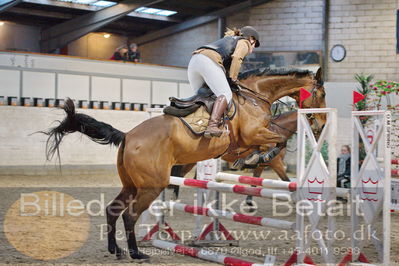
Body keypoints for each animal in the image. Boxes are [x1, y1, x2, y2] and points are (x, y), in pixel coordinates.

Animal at [43, 66, 326, 260]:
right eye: (322, 93)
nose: (321, 125)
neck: (256, 97)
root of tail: (128, 136)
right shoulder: (253, 134)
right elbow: (277, 141)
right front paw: (260, 157)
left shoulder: (238, 145)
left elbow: (265, 147)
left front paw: (251, 159)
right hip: (151, 186)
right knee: (130, 215)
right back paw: (136, 253)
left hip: (132, 185)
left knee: (113, 210)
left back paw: (117, 251)